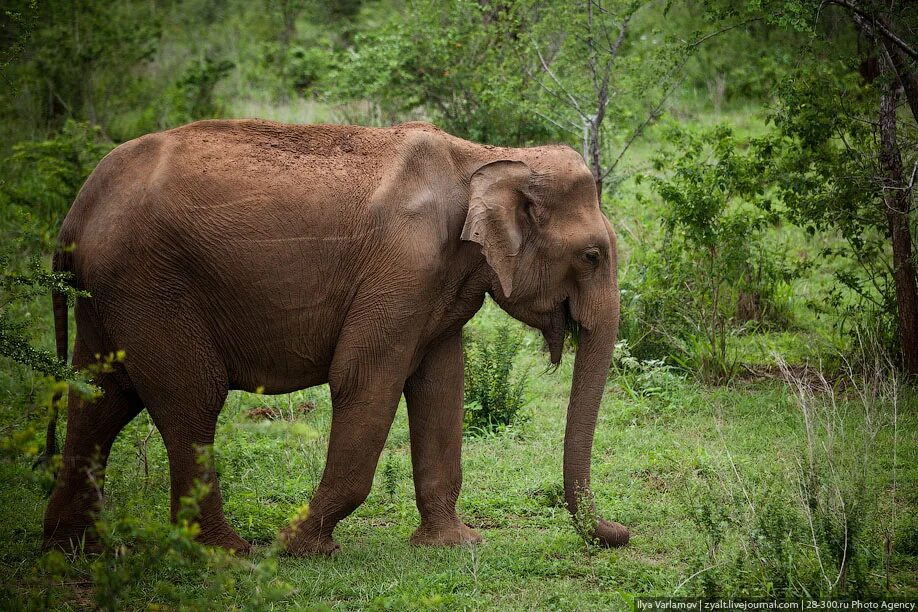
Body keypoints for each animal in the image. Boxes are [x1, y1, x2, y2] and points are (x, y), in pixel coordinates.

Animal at [43, 119, 632, 556]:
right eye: (591, 256)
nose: (619, 533)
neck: (487, 158)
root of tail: (74, 215)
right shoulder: (403, 266)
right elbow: (365, 378)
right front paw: (298, 547)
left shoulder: (436, 282)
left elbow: (441, 385)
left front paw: (453, 544)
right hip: (148, 287)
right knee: (191, 396)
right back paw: (227, 552)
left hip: (109, 296)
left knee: (101, 396)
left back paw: (74, 549)